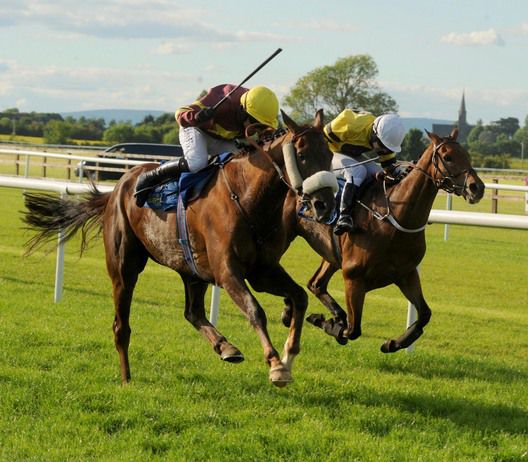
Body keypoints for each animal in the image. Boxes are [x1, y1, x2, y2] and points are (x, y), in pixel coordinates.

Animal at [23, 109, 338, 386]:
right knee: (121, 325)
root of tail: (117, 188)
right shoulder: (227, 271)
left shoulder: (262, 270)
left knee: (192, 311)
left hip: (192, 268)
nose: (325, 204)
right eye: (302, 155)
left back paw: (225, 346)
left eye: (330, 155)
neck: (246, 197)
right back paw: (126, 378)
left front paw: (288, 355)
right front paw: (275, 365)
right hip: (124, 266)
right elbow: (254, 309)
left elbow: (299, 297)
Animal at [282, 126, 484, 350]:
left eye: (466, 155)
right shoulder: (353, 277)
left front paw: (394, 343)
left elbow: (424, 314)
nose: (477, 188)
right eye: (448, 157)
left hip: (331, 254)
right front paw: (328, 322)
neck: (393, 218)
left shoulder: (406, 274)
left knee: (315, 283)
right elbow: (352, 330)